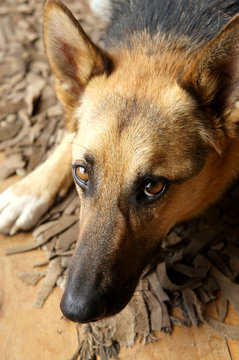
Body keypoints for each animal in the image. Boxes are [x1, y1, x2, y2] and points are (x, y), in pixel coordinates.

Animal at [0, 0, 239, 324]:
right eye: (82, 172)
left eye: (153, 187)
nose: (75, 311)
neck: (166, 28)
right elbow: (70, 133)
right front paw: (28, 190)